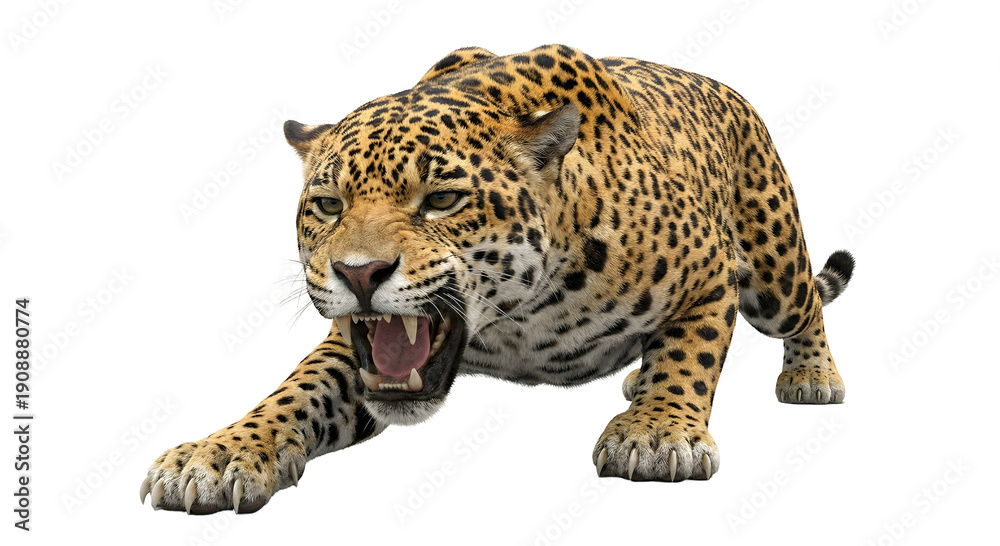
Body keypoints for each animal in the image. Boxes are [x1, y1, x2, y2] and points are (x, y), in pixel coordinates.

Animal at [141, 44, 855, 514]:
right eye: (328, 205)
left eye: (440, 200)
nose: (358, 272)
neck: (526, 317)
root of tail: (717, 84)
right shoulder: (354, 345)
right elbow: (294, 393)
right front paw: (219, 453)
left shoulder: (707, 271)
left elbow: (689, 355)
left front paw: (657, 431)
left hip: (773, 264)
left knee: (805, 309)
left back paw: (811, 378)